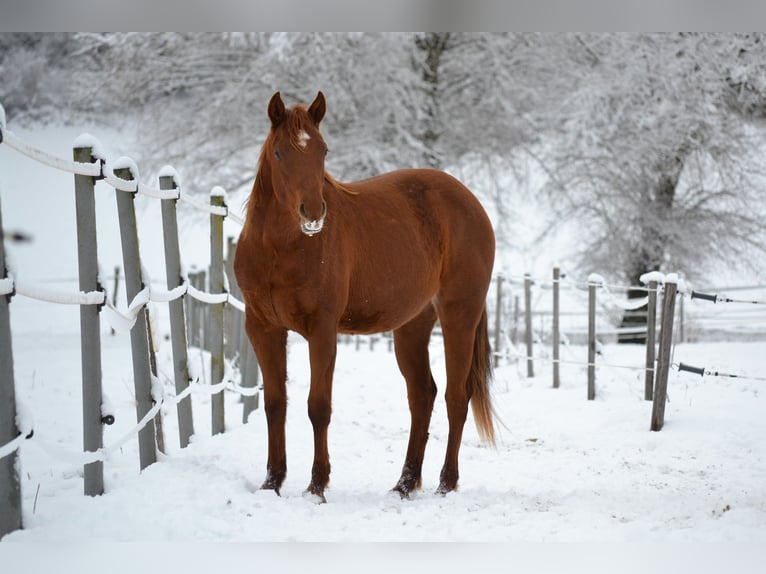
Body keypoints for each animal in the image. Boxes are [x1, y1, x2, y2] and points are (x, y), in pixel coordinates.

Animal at [234, 91, 498, 504]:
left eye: (323, 150)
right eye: (279, 153)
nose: (313, 212)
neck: (281, 249)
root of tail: (470, 202)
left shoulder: (322, 330)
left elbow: (318, 407)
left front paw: (317, 486)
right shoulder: (262, 329)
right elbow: (275, 404)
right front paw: (271, 483)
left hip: (460, 314)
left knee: (457, 395)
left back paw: (446, 483)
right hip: (412, 326)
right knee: (423, 396)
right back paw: (404, 484)